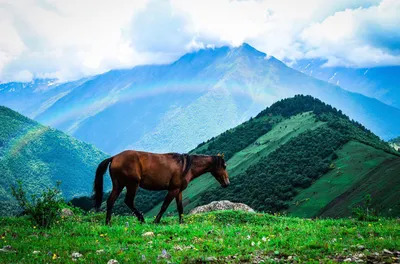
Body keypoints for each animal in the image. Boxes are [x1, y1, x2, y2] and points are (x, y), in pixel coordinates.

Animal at [93, 151, 230, 225]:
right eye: (224, 166)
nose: (227, 183)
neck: (186, 166)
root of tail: (114, 158)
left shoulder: (179, 191)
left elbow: (180, 207)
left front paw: (181, 222)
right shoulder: (173, 190)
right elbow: (164, 206)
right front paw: (156, 221)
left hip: (119, 185)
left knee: (111, 201)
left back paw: (108, 223)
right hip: (132, 185)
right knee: (128, 201)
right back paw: (142, 219)